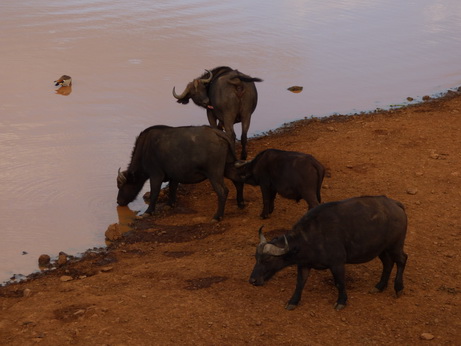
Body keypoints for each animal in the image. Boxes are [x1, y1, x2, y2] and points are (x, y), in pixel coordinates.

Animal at [250, 196, 408, 312]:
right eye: (256, 258)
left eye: (268, 259)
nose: (252, 280)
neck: (310, 238)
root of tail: (396, 205)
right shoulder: (304, 265)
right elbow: (300, 283)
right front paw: (293, 301)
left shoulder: (337, 264)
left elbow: (340, 282)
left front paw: (341, 301)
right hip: (382, 249)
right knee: (388, 263)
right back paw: (380, 286)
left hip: (395, 246)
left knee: (402, 260)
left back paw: (398, 288)